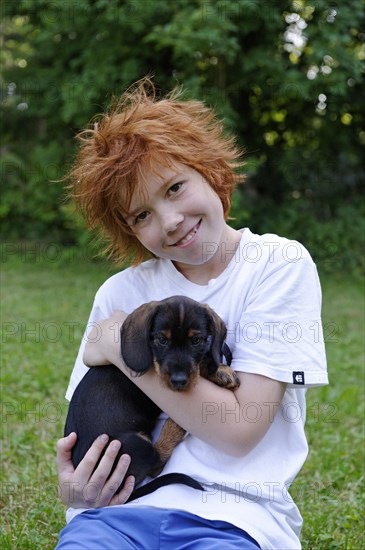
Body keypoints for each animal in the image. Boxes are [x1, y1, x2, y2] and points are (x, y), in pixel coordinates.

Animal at [64, 300, 237, 494]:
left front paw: (220, 370)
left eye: (196, 340)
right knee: (156, 464)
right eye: (162, 340)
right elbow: (199, 367)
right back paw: (174, 426)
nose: (178, 381)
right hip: (131, 444)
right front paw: (221, 371)